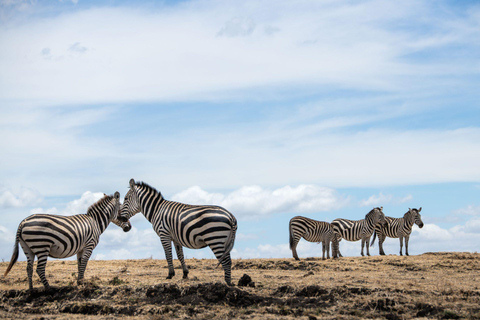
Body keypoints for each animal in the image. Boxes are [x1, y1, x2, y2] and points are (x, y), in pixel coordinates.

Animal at [2, 191, 130, 292]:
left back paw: (31, 290)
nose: (129, 227)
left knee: (29, 268)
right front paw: (82, 283)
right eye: (123, 209)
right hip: (42, 246)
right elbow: (84, 263)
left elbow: (80, 264)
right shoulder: (89, 245)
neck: (95, 222)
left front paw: (80, 281)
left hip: (27, 247)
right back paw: (49, 289)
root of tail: (23, 222)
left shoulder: (81, 248)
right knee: (40, 269)